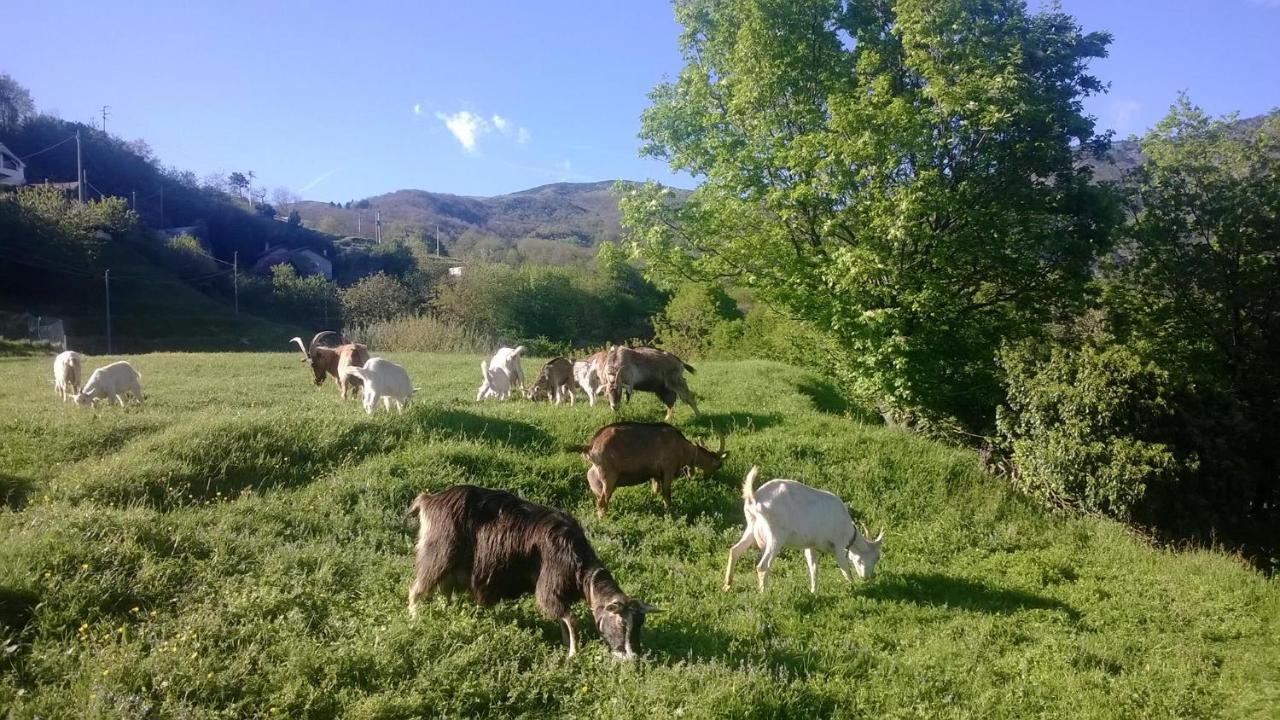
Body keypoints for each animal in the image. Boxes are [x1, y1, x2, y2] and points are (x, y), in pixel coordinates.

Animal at [407, 481, 660, 655]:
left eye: (640, 624)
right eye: (621, 623)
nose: (632, 658)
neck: (580, 568)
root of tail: (428, 500)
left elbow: (563, 620)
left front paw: (566, 645)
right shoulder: (549, 587)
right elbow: (570, 618)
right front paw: (573, 654)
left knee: (444, 592)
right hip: (437, 555)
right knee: (415, 588)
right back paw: (414, 619)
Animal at [583, 420, 727, 515]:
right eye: (717, 465)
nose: (709, 478)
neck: (682, 446)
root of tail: (591, 446)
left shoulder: (655, 474)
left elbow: (655, 490)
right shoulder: (668, 470)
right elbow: (666, 494)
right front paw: (670, 511)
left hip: (595, 478)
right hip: (609, 478)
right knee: (602, 503)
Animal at [727, 461, 885, 591]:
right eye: (876, 557)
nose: (867, 578)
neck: (848, 530)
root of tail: (754, 497)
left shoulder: (810, 545)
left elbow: (813, 568)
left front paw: (813, 591)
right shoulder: (839, 545)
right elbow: (844, 567)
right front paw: (854, 586)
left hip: (751, 527)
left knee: (734, 550)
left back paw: (727, 586)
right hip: (776, 535)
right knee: (762, 566)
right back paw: (764, 594)